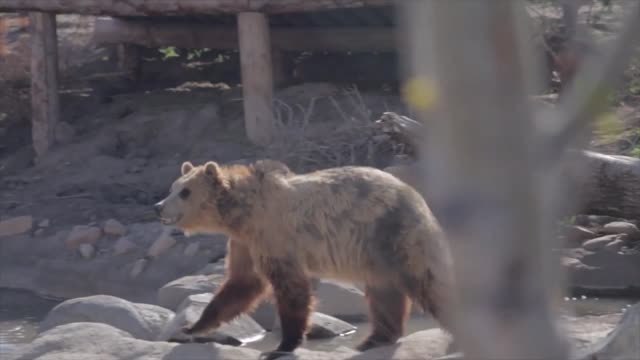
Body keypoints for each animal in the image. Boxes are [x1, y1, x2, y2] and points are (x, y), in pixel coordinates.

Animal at [154, 158, 456, 358]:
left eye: (185, 192)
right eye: (173, 187)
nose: (158, 207)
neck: (240, 214)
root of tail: (418, 197)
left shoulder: (274, 235)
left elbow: (290, 288)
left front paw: (282, 346)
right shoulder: (244, 242)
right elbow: (241, 283)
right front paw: (192, 327)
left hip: (392, 233)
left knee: (427, 282)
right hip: (378, 253)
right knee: (384, 294)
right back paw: (372, 340)